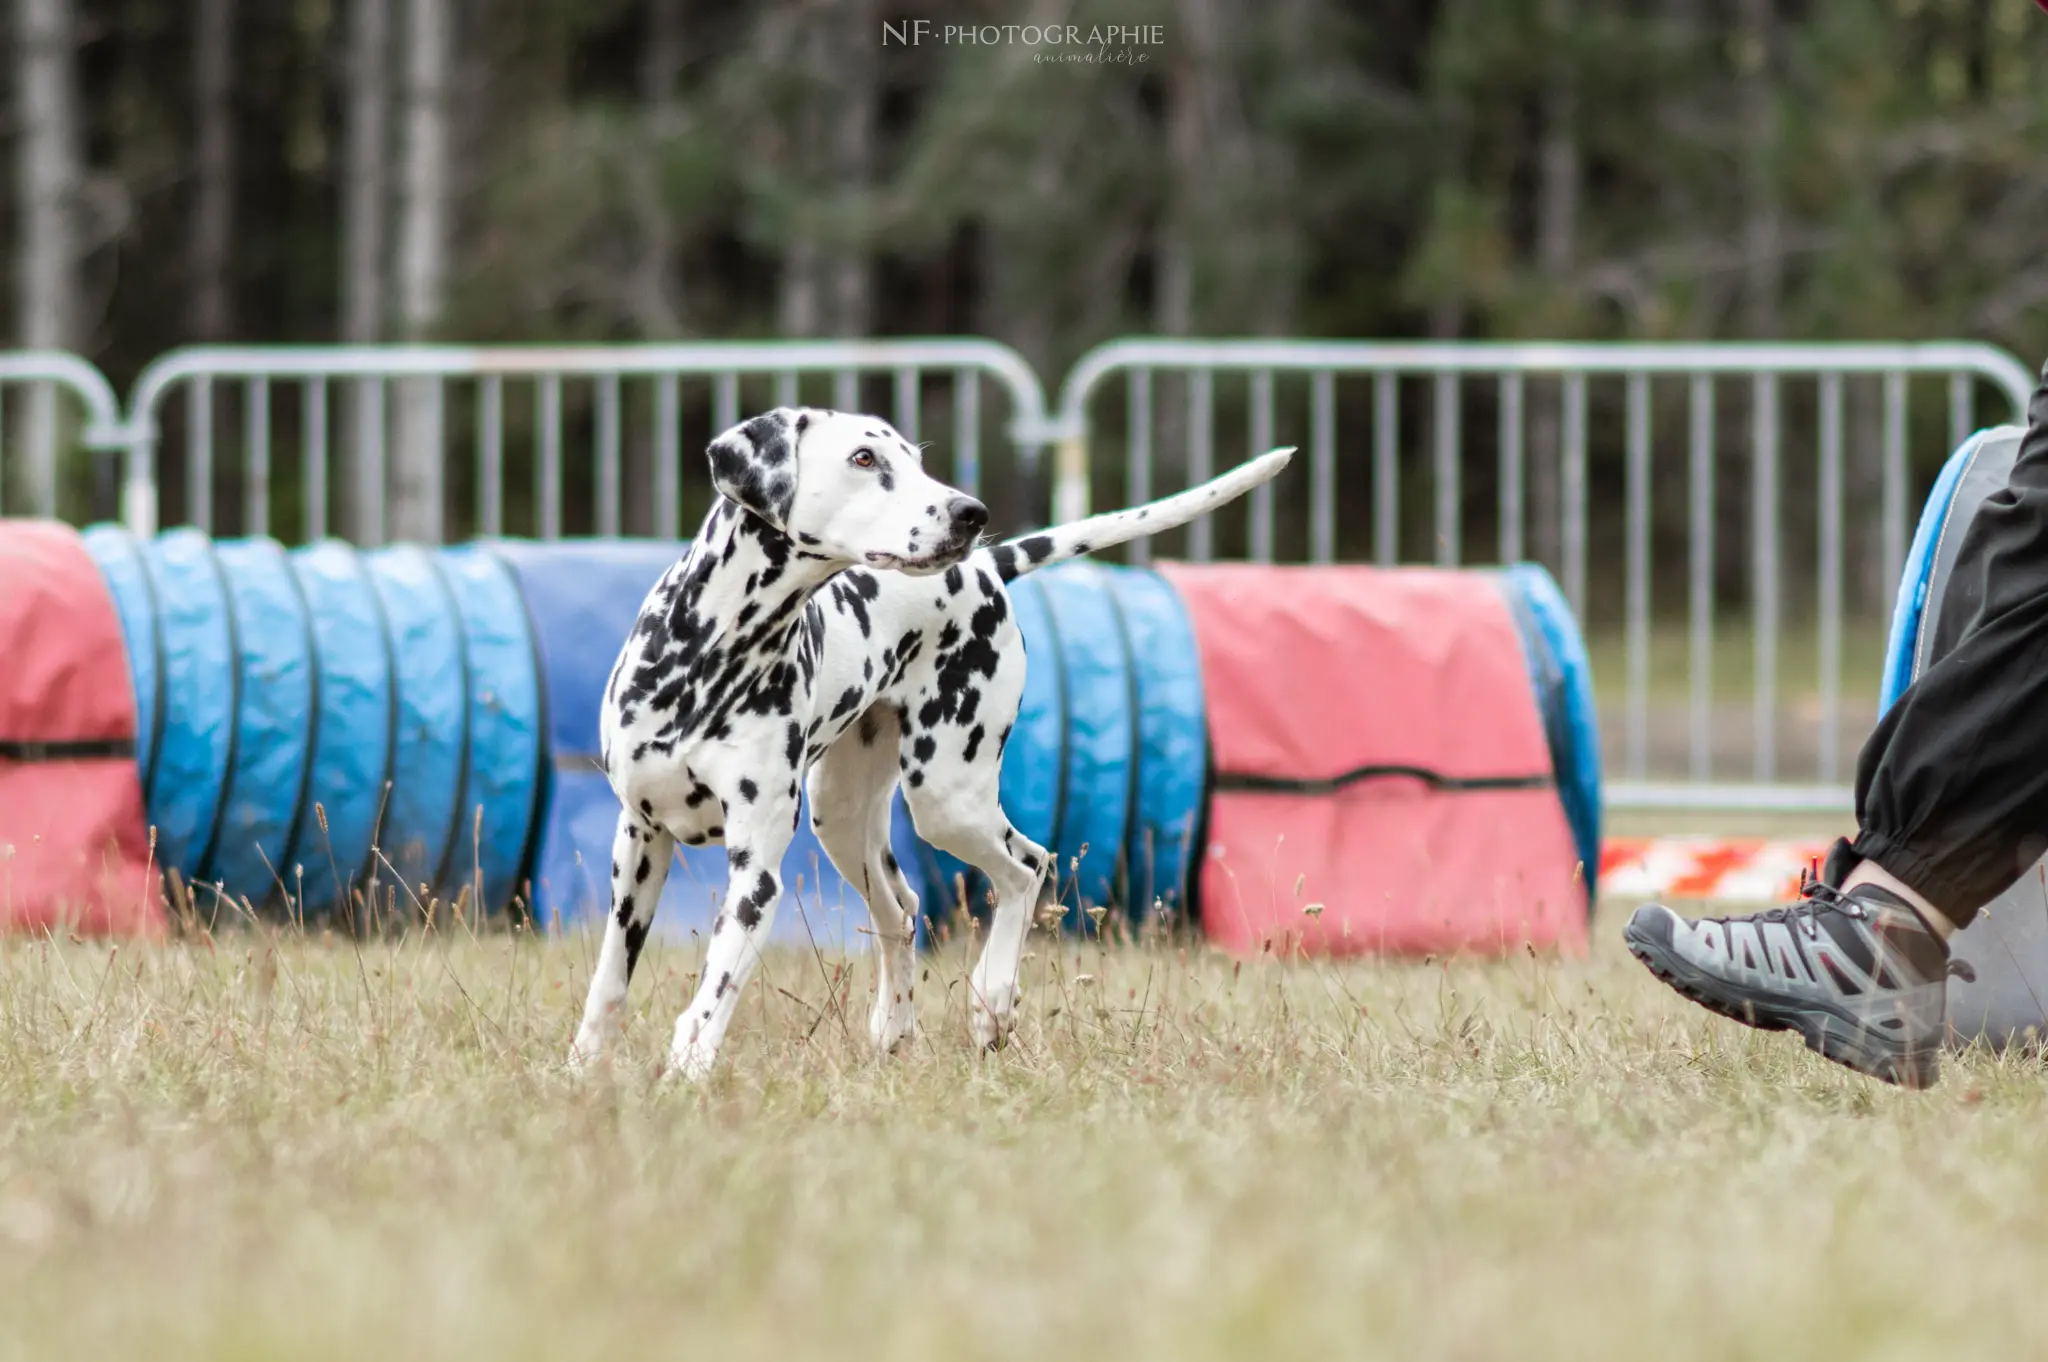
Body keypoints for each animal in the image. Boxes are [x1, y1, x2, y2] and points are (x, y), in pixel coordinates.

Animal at [569, 409, 1286, 1081]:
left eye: (915, 458)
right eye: (864, 458)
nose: (971, 512)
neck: (712, 655)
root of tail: (987, 567)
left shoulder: (756, 875)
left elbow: (713, 992)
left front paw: (687, 1073)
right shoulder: (638, 840)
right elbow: (609, 978)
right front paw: (584, 1066)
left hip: (946, 800)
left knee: (1027, 866)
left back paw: (991, 1000)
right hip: (843, 821)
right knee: (904, 909)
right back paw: (893, 1027)